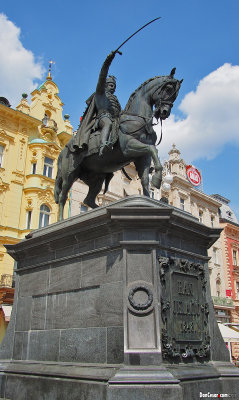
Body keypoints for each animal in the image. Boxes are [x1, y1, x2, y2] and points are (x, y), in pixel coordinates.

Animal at [54, 68, 183, 219]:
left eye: (176, 94)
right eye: (168, 89)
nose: (165, 112)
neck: (138, 119)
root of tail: (63, 151)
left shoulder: (143, 157)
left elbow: (145, 178)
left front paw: (148, 196)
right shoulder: (129, 147)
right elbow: (152, 149)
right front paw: (157, 178)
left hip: (97, 178)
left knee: (88, 200)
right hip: (70, 174)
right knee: (62, 196)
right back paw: (61, 220)